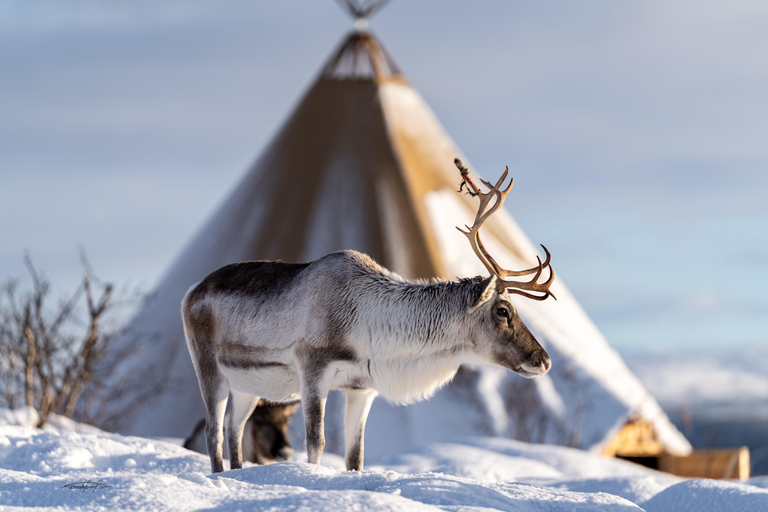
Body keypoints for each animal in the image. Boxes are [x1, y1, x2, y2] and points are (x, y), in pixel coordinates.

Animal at [182, 161, 556, 474]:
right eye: (503, 311)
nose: (543, 359)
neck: (373, 328)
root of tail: (191, 292)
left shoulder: (362, 387)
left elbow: (356, 455)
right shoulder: (313, 370)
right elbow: (316, 442)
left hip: (246, 386)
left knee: (234, 428)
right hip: (209, 369)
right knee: (213, 431)